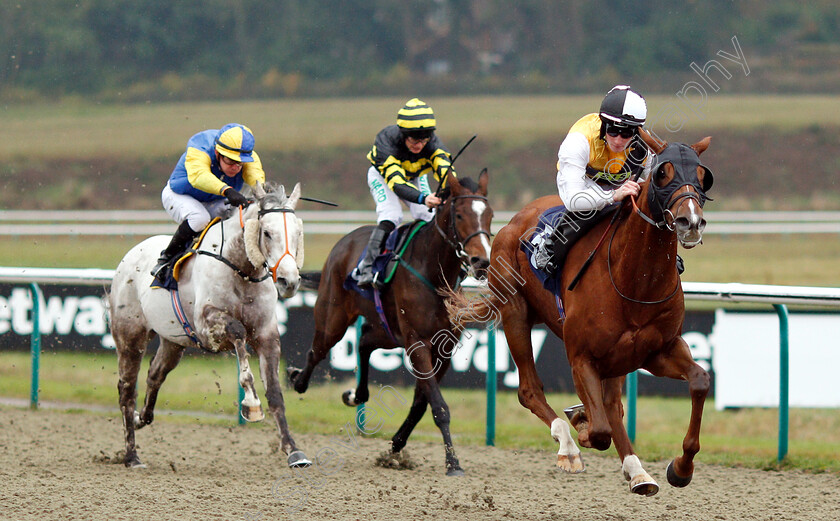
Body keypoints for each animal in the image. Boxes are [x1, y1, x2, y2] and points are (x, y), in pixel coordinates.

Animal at [288, 171, 492, 476]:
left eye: (489, 214)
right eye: (459, 215)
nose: (481, 261)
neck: (433, 272)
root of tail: (343, 242)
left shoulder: (444, 346)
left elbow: (422, 403)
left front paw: (396, 446)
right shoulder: (417, 342)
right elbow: (439, 406)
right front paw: (453, 463)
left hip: (388, 331)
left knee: (363, 340)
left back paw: (355, 395)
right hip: (333, 318)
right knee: (317, 351)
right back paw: (297, 379)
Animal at [446, 134, 716, 496]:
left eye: (702, 175)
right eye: (663, 173)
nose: (691, 222)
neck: (636, 279)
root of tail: (514, 220)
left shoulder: (658, 350)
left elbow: (700, 381)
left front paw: (681, 467)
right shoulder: (581, 356)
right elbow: (599, 430)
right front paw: (581, 424)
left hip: (617, 356)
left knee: (614, 406)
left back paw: (638, 472)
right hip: (515, 312)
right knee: (530, 390)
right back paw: (569, 446)